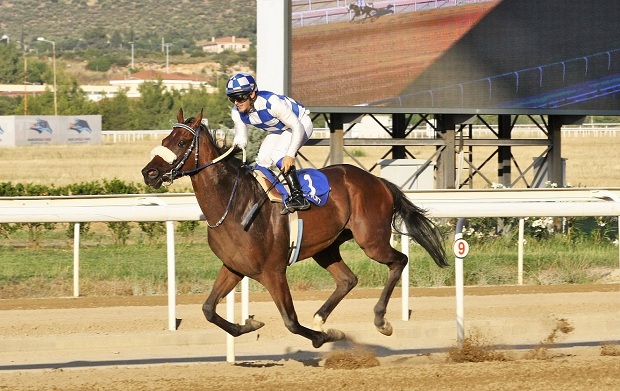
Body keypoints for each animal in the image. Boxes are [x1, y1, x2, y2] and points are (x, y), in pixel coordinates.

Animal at [142, 108, 448, 350]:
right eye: (164, 140)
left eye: (182, 142)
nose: (149, 173)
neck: (234, 204)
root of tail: (378, 181)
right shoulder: (234, 267)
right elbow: (207, 309)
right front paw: (249, 325)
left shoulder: (273, 271)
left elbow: (290, 321)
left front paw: (324, 337)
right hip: (326, 247)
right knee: (348, 279)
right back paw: (322, 318)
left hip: (371, 240)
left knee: (399, 261)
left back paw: (380, 320)